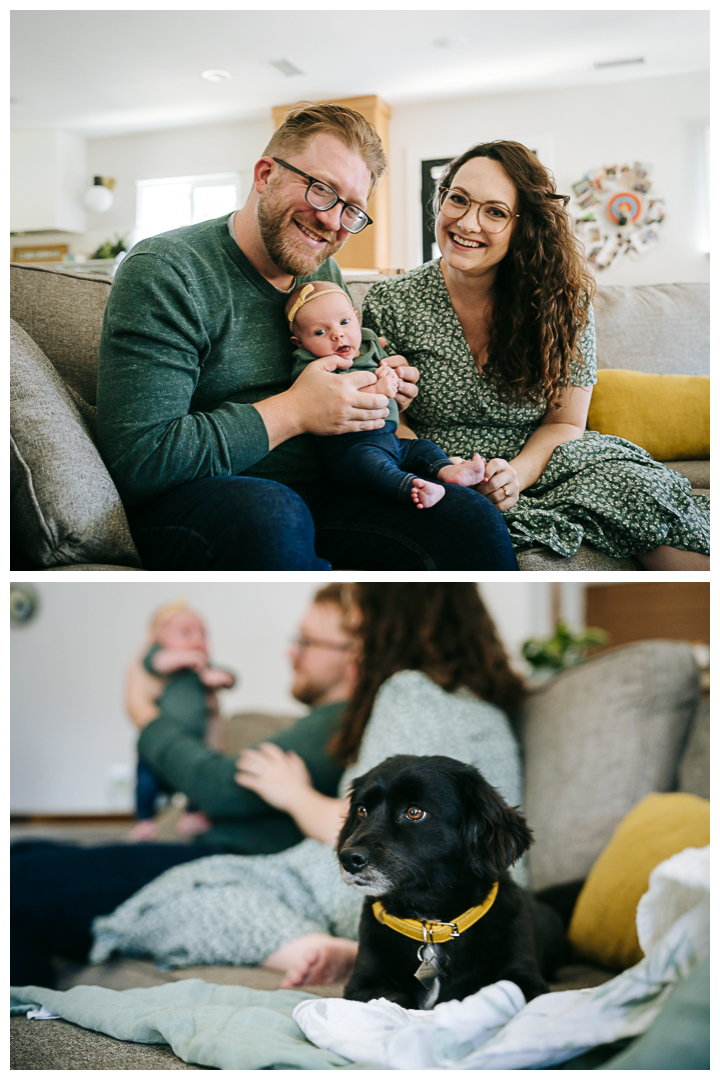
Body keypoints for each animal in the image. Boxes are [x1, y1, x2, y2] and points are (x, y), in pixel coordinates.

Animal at [334, 756, 565, 1006]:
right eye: (362, 810)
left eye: (415, 812)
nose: (348, 858)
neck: (431, 925)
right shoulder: (363, 983)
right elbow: (392, 1000)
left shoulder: (524, 979)